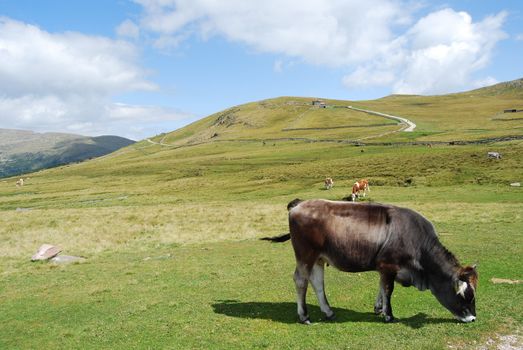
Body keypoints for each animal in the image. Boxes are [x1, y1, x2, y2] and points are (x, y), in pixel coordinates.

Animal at [262, 198, 478, 324]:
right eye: (464, 295)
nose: (473, 317)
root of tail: (299, 203)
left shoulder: (383, 267)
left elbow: (381, 287)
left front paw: (378, 308)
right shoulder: (389, 265)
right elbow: (388, 289)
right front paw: (389, 315)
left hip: (319, 258)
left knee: (317, 283)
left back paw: (328, 311)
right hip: (305, 255)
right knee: (301, 280)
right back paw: (304, 316)